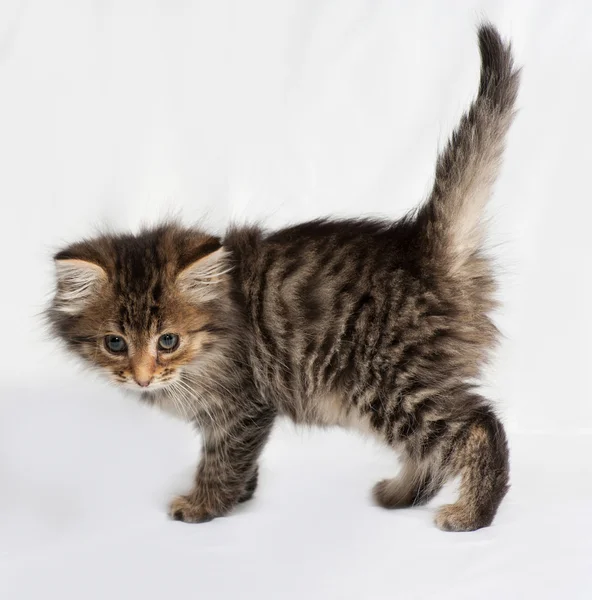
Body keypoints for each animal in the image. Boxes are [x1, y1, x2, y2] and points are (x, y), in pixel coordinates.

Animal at [49, 24, 520, 528]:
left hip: (388, 382)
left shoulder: (243, 404)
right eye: (115, 343)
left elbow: (223, 457)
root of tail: (422, 246)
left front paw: (204, 504)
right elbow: (240, 459)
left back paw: (471, 513)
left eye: (168, 341)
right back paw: (401, 493)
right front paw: (242, 496)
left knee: (479, 426)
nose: (141, 378)